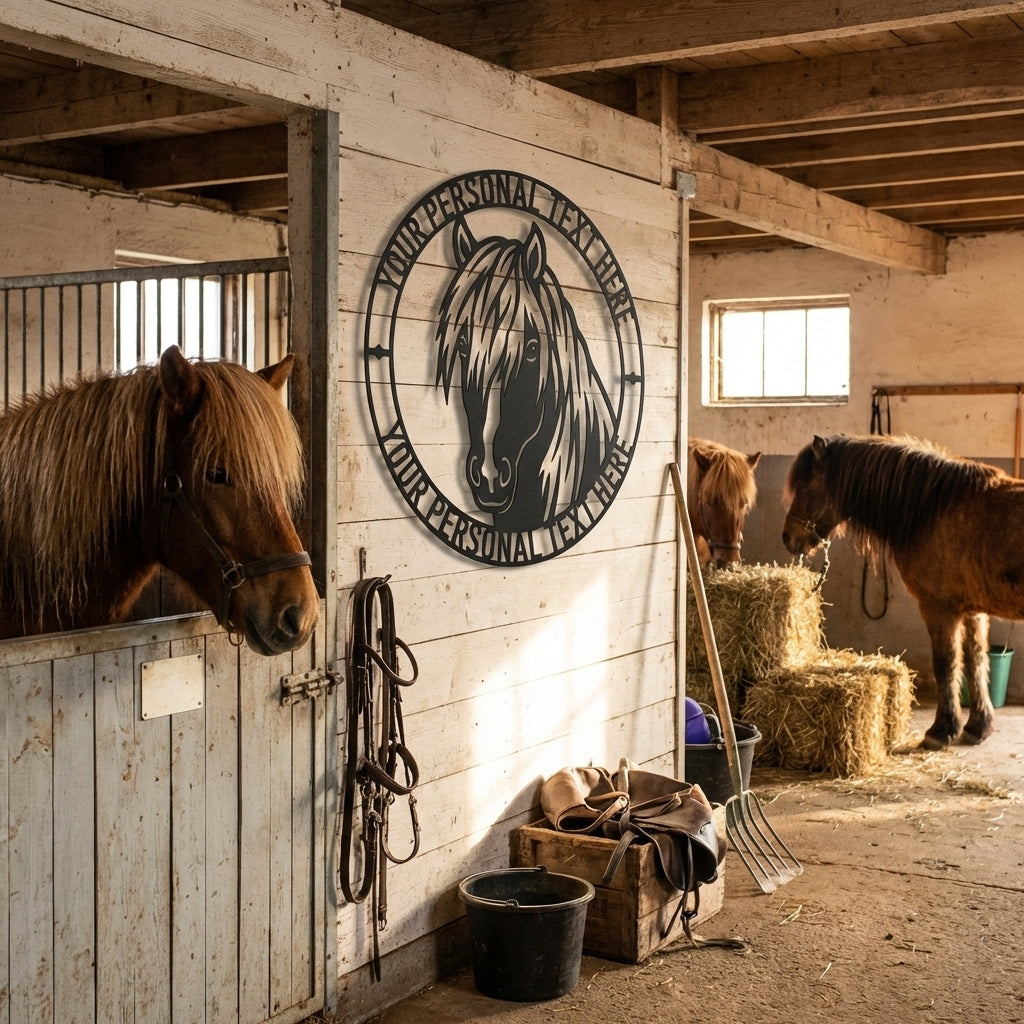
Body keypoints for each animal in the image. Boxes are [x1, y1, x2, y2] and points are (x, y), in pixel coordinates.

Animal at [781, 433, 1024, 749]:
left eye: (807, 486)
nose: (788, 537)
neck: (934, 508)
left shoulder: (938, 608)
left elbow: (946, 663)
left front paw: (941, 731)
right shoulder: (972, 610)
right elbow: (976, 660)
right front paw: (977, 727)